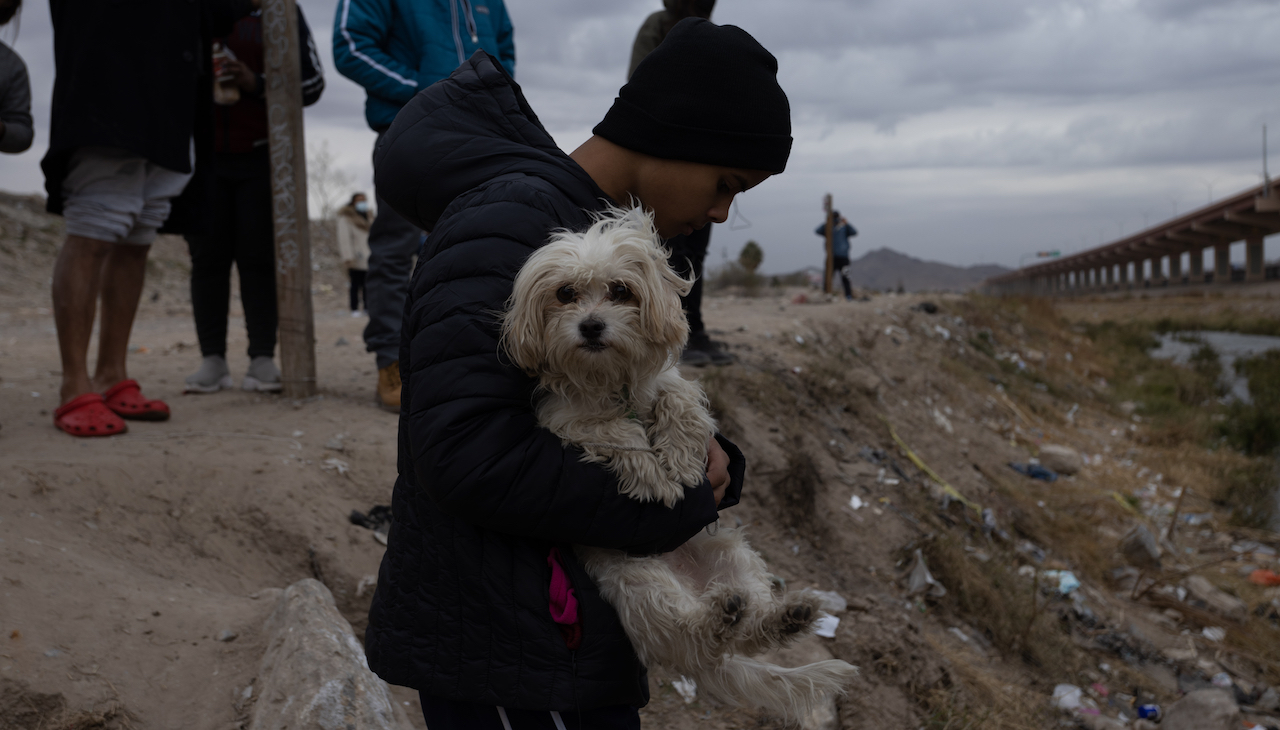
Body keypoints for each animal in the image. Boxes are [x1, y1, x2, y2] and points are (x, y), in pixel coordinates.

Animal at [501, 204, 860, 717]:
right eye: (565, 293)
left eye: (620, 290)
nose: (590, 326)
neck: (611, 381)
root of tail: (694, 583)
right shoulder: (564, 419)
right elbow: (615, 431)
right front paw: (655, 476)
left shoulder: (671, 384)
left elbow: (678, 407)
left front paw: (682, 460)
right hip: (641, 586)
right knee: (699, 634)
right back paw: (720, 619)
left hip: (733, 557)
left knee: (749, 627)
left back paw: (782, 616)